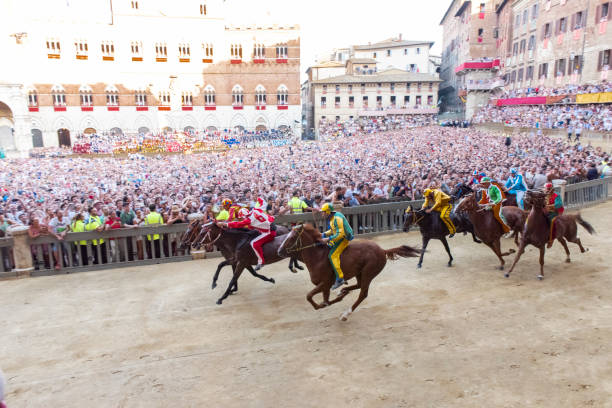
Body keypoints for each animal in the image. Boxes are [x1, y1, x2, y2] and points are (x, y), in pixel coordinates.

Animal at [278, 225, 418, 320]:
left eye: (292, 237)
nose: (279, 251)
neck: (317, 257)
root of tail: (383, 250)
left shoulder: (326, 283)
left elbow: (311, 297)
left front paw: (324, 304)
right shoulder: (325, 286)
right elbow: (323, 299)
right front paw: (339, 296)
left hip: (368, 273)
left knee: (363, 294)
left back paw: (346, 314)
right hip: (359, 273)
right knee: (358, 286)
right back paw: (343, 290)